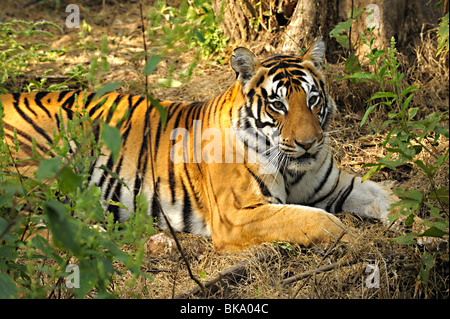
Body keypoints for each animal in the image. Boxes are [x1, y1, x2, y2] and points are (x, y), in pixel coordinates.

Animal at [0, 38, 398, 252]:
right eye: (278, 104)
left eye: (313, 100)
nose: (308, 144)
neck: (293, 168)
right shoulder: (238, 214)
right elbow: (317, 220)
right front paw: (352, 238)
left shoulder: (337, 184)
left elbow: (384, 195)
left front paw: (411, 226)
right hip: (39, 175)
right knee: (24, 229)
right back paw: (94, 236)